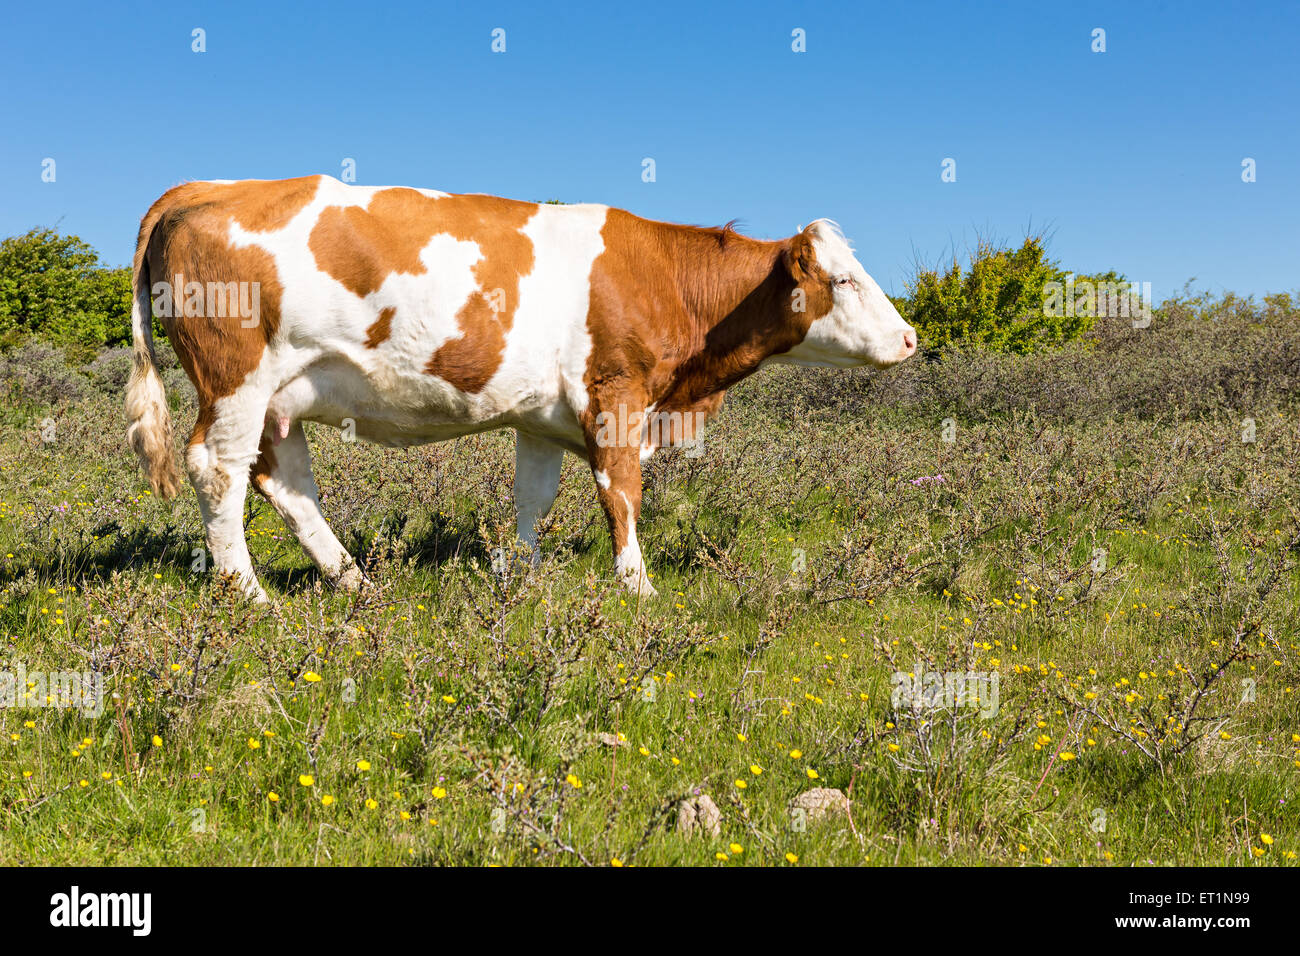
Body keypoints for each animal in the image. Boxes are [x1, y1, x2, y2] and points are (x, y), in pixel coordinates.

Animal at [125, 176, 917, 601]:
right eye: (844, 279)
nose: (910, 338)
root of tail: (206, 186)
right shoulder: (618, 395)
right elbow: (622, 492)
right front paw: (638, 584)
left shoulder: (541, 417)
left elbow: (534, 497)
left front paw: (529, 579)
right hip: (236, 380)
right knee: (218, 471)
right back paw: (249, 593)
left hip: (280, 398)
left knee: (285, 482)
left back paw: (354, 581)